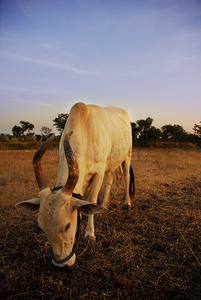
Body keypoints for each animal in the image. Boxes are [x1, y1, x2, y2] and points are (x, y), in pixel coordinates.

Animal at [15, 103, 134, 268]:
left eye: (67, 226)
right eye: (42, 228)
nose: (61, 264)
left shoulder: (98, 172)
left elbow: (91, 200)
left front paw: (90, 234)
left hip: (127, 155)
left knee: (126, 177)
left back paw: (127, 203)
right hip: (109, 165)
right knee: (110, 179)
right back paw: (105, 205)